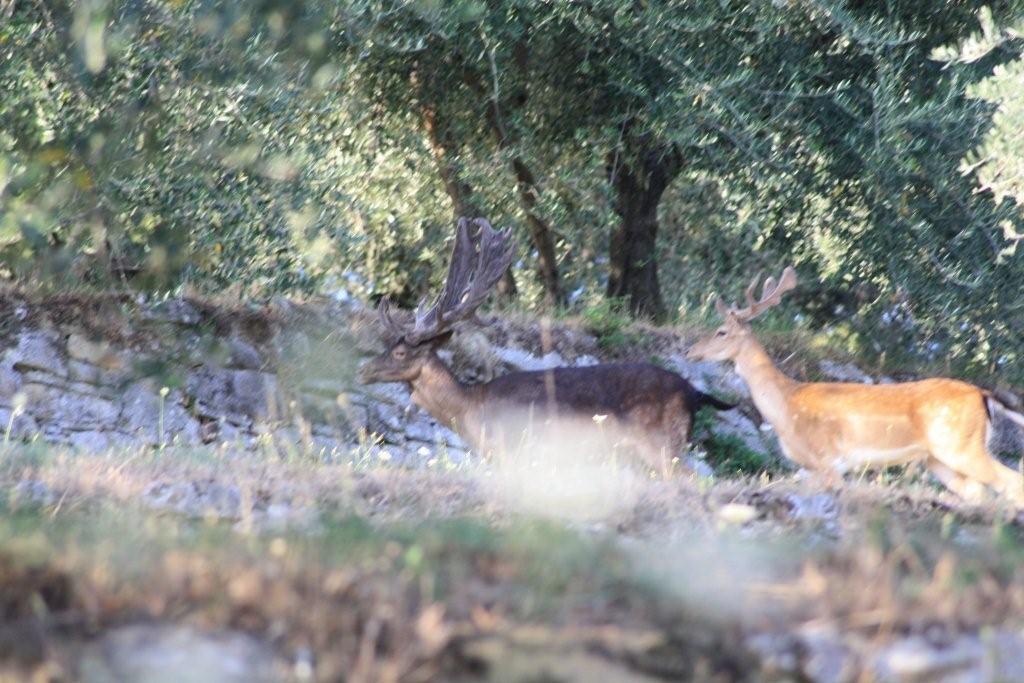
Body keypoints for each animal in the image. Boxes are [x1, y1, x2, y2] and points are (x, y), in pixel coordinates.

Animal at [356, 218, 733, 475]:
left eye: (400, 352)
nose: (365, 370)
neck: (471, 409)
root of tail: (694, 392)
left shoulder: (515, 451)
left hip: (663, 443)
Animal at [688, 266, 1024, 507]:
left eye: (721, 331)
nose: (691, 351)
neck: (786, 405)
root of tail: (983, 394)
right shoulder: (813, 467)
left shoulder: (828, 460)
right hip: (940, 459)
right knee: (979, 494)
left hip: (962, 446)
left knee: (1012, 483)